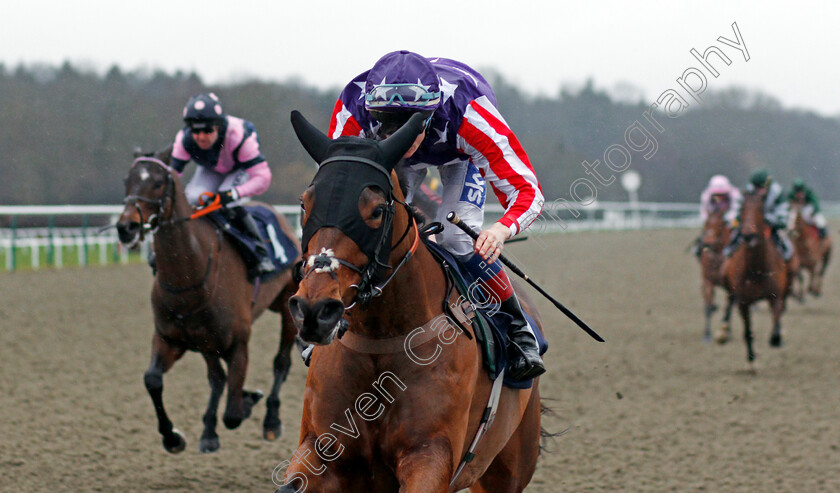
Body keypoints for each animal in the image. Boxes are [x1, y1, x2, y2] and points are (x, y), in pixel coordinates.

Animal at [116, 148, 302, 452]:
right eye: (127, 181)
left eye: (157, 182)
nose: (126, 227)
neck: (188, 277)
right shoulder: (173, 338)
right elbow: (153, 380)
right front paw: (173, 436)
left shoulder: (238, 342)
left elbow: (233, 414)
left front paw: (247, 403)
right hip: (208, 340)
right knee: (217, 378)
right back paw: (211, 430)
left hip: (287, 307)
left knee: (281, 363)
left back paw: (271, 421)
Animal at [276, 112, 540, 492]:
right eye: (304, 203)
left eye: (375, 210)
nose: (315, 309)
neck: (383, 341)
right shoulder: (320, 447)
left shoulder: (430, 455)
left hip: (508, 467)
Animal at [720, 190, 796, 368]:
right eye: (742, 209)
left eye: (761, 210)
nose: (748, 234)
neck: (756, 270)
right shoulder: (743, 301)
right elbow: (747, 331)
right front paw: (751, 362)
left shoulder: (775, 296)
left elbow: (776, 320)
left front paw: (776, 338)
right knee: (729, 301)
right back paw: (723, 331)